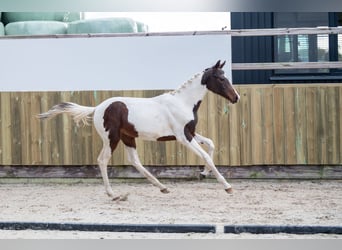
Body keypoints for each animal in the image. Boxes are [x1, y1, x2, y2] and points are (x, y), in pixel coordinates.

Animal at [38, 61, 240, 201]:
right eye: (221, 78)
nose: (236, 97)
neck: (182, 102)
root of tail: (97, 108)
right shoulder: (183, 137)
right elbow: (205, 155)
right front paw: (227, 186)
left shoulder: (189, 132)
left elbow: (211, 144)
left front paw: (203, 173)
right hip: (111, 138)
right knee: (103, 160)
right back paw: (113, 194)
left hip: (127, 137)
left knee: (134, 161)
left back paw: (162, 187)